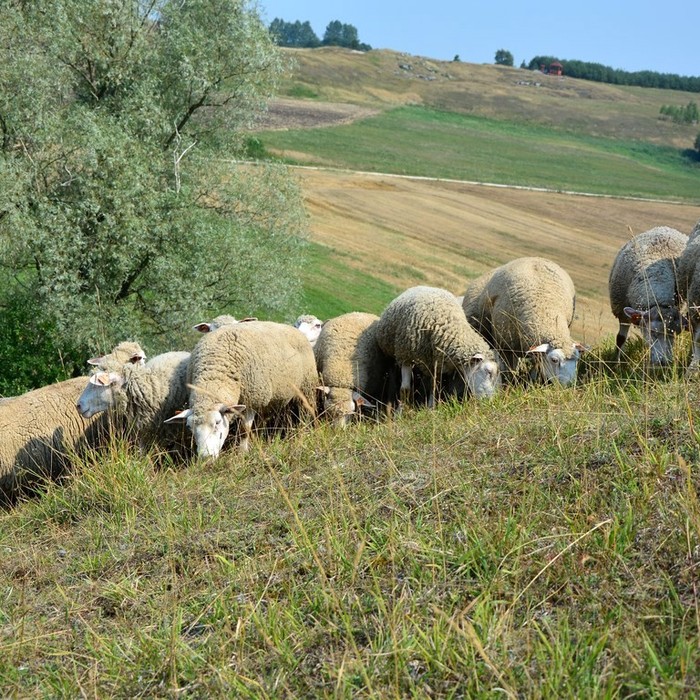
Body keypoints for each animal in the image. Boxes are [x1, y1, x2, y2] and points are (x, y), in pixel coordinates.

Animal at [164, 320, 318, 456]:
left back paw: (304, 431)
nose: (205, 457)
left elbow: (244, 430)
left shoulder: (252, 400)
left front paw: (242, 452)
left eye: (217, 422)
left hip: (307, 385)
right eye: (189, 427)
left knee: (306, 411)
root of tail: (292, 328)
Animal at [462, 256, 584, 386]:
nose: (569, 385)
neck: (544, 310)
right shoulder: (506, 346)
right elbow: (509, 370)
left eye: (577, 359)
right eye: (554, 360)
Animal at [608, 226, 688, 366]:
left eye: (676, 334)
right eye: (653, 332)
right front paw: (617, 364)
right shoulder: (621, 312)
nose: (663, 362)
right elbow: (620, 339)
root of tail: (665, 227)